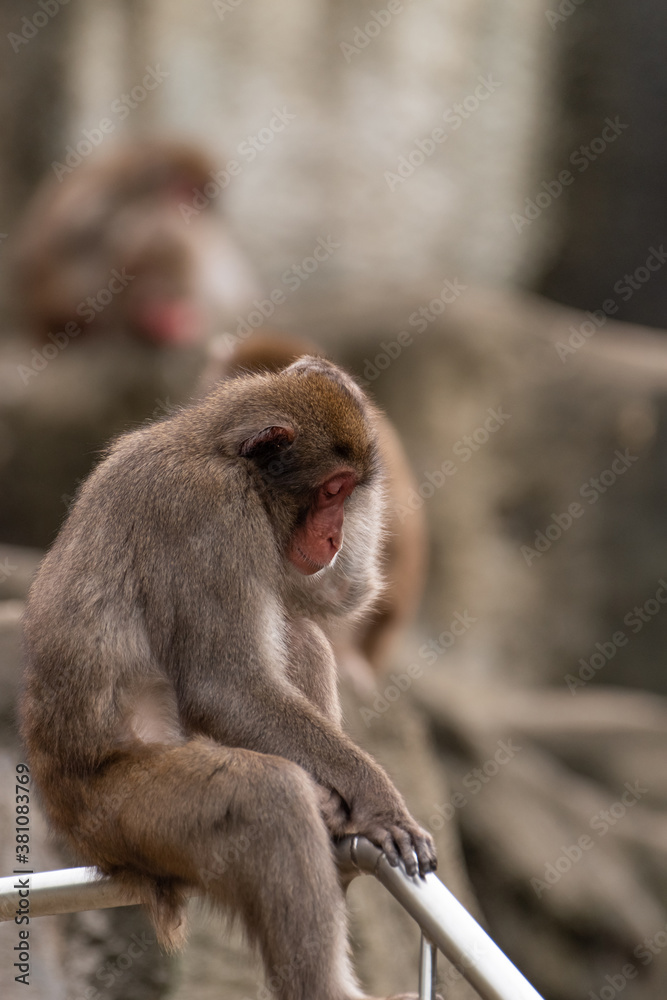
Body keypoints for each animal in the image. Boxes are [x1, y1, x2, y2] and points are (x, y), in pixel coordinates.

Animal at [19, 356, 438, 1000]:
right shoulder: (211, 515)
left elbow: (332, 597)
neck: (218, 454)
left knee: (298, 626)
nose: (335, 536)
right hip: (125, 814)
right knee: (266, 797)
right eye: (332, 490)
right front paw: (378, 799)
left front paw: (330, 378)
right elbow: (224, 687)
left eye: (349, 493)